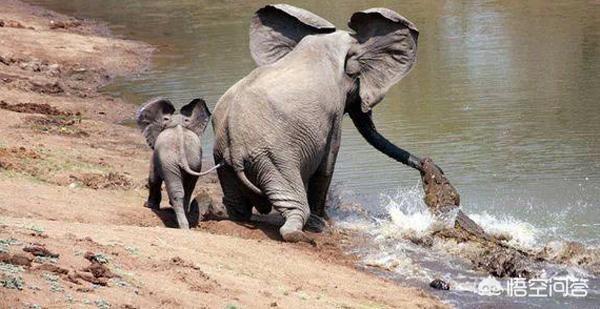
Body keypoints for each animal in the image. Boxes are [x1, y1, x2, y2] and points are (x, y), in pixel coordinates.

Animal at [137, 97, 217, 227]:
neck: (178, 123)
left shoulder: (156, 155)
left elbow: (153, 178)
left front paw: (148, 206)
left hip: (169, 161)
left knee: (177, 191)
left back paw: (181, 225)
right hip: (194, 162)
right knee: (188, 189)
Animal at [213, 3, 424, 242]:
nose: (426, 165)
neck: (326, 44)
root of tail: (235, 143)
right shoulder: (333, 112)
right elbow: (327, 166)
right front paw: (326, 222)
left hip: (223, 157)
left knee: (235, 203)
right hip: (273, 158)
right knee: (294, 206)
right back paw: (304, 233)